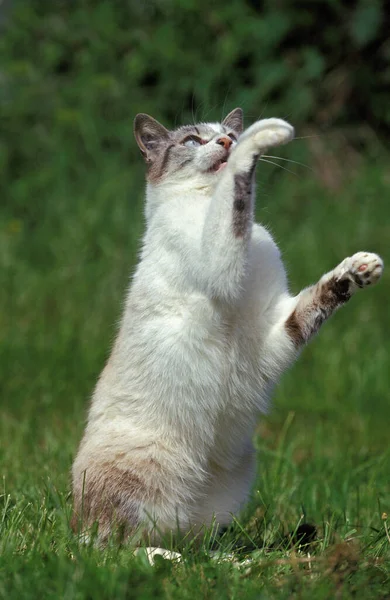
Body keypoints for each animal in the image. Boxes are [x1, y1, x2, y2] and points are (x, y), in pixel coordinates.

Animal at [71, 108, 384, 544]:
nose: (225, 142)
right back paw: (160, 555)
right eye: (193, 140)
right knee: (113, 546)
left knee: (193, 544)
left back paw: (225, 557)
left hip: (230, 488)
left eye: (226, 134)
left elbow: (316, 299)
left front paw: (360, 268)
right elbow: (235, 195)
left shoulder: (271, 332)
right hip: (145, 475)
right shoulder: (220, 261)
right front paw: (267, 134)